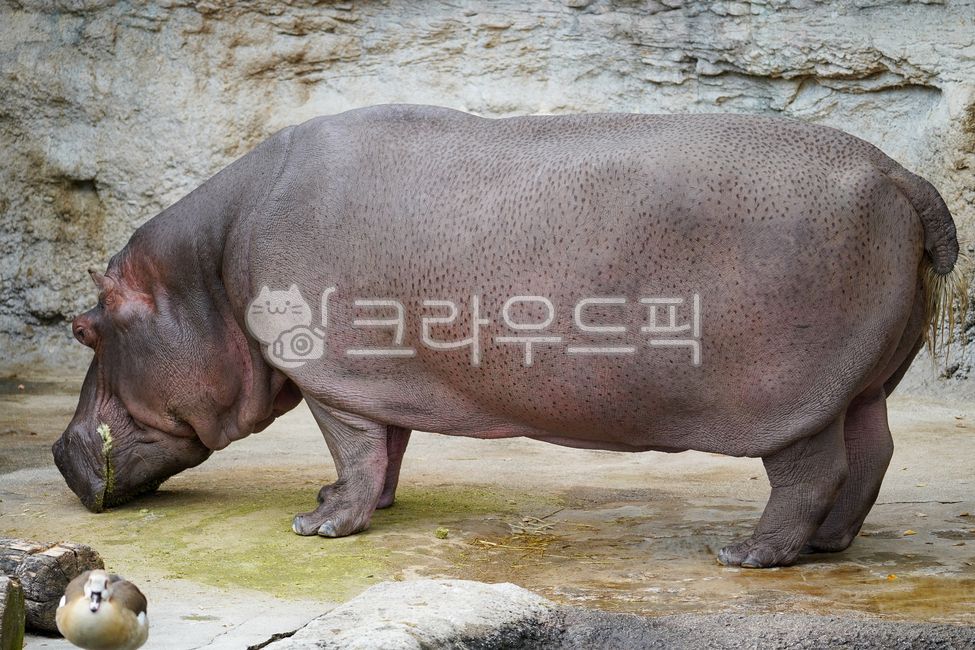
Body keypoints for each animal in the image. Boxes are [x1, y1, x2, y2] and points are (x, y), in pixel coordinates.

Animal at [54, 105, 963, 568]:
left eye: (82, 327)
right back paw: (830, 544)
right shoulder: (382, 376)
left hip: (790, 400)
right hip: (864, 379)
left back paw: (746, 554)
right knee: (871, 451)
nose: (62, 453)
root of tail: (899, 174)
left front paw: (319, 527)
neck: (202, 273)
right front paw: (345, 502)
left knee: (812, 472)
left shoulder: (331, 377)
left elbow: (355, 447)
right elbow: (387, 446)